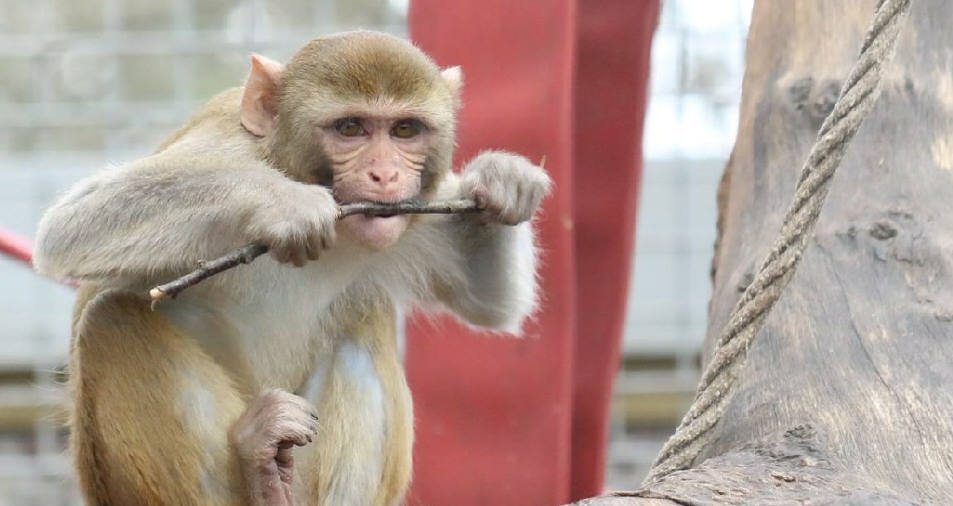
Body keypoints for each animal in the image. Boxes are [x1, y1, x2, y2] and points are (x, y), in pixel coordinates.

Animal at [34, 31, 550, 506]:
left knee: (363, 320)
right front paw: (283, 203)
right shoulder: (223, 148)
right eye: (350, 128)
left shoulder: (415, 210)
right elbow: (73, 225)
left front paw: (502, 179)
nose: (385, 175)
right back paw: (257, 468)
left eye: (405, 130)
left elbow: (489, 302)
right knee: (112, 318)